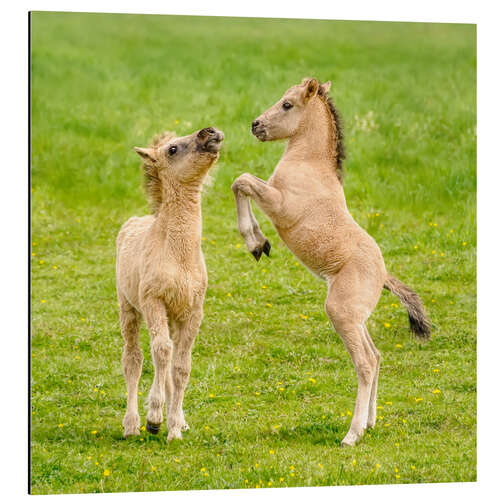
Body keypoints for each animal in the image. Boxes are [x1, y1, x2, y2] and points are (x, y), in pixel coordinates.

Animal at [116, 127, 224, 440]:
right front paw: (154, 417)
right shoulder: (154, 301)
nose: (211, 133)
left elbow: (181, 366)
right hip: (128, 308)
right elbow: (160, 351)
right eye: (173, 149)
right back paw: (131, 425)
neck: (178, 255)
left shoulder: (192, 311)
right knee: (133, 359)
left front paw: (174, 427)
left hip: (173, 316)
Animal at [230, 78, 430, 446]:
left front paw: (256, 242)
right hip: (356, 316)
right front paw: (259, 243)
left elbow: (243, 180)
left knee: (365, 363)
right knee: (376, 356)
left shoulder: (281, 205)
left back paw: (352, 434)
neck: (309, 164)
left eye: (287, 104)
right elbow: (243, 182)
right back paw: (370, 423)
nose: (255, 125)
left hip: (340, 312)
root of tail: (383, 274)